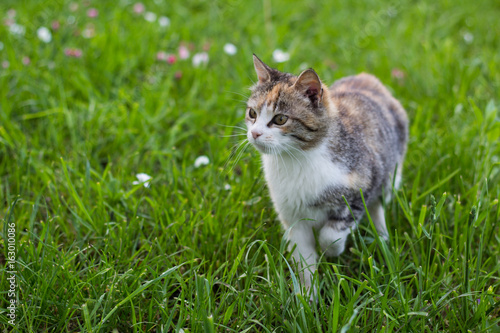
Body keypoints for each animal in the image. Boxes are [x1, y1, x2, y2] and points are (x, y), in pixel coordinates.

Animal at [244, 54, 408, 298]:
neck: (297, 160)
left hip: (391, 170)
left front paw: (331, 250)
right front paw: (307, 297)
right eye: (252, 114)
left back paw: (381, 235)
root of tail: (367, 79)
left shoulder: (362, 185)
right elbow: (304, 257)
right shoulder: (293, 216)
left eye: (280, 119)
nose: (254, 133)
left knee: (379, 201)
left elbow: (332, 234)